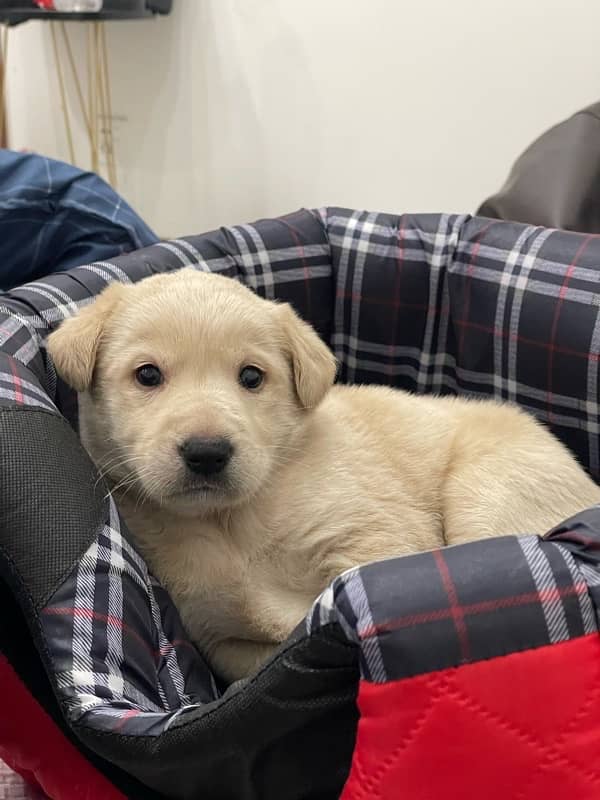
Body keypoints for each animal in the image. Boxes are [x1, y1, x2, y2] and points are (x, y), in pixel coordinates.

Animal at [48, 268, 600, 680]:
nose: (207, 453)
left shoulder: (376, 537)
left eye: (252, 377)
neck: (232, 522)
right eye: (147, 374)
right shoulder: (219, 636)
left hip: (489, 492)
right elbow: (260, 657)